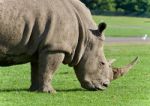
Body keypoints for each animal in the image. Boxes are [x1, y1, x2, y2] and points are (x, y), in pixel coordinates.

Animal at [0, 0, 138, 93]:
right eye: (102, 63)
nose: (105, 86)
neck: (87, 36)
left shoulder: (42, 47)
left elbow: (38, 69)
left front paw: (34, 90)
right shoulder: (55, 47)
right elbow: (49, 70)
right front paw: (50, 92)